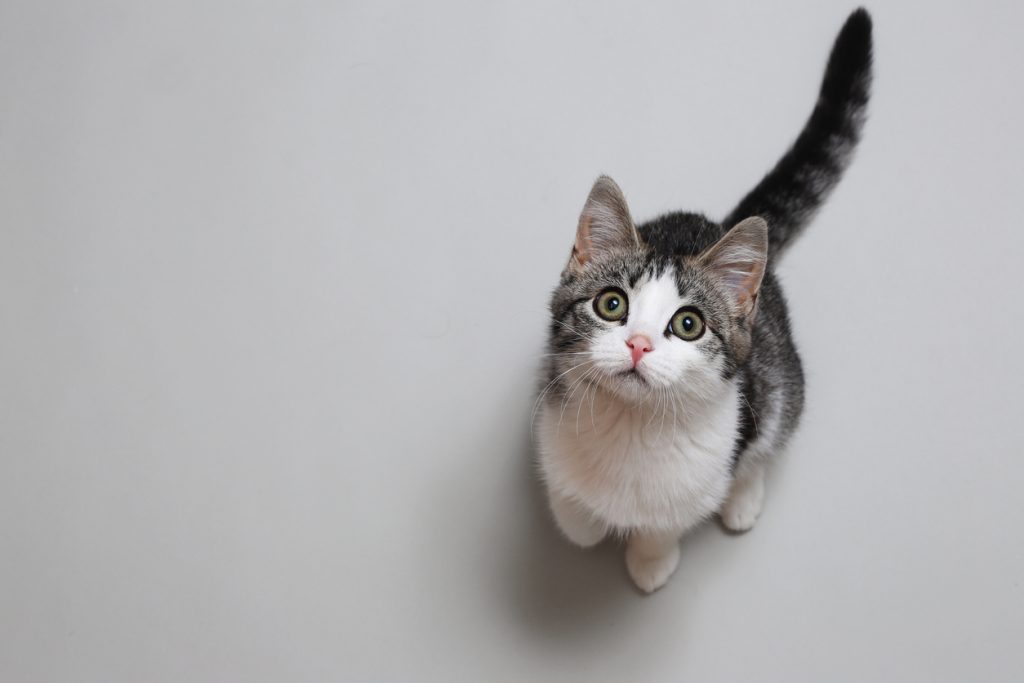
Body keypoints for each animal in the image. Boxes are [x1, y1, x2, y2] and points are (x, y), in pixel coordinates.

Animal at [536, 7, 872, 593]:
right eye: (611, 305)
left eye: (688, 324)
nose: (639, 344)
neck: (633, 427)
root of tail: (715, 223)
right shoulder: (548, 415)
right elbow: (572, 514)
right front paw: (585, 519)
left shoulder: (727, 440)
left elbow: (668, 520)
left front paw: (651, 559)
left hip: (780, 379)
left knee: (772, 434)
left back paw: (744, 499)